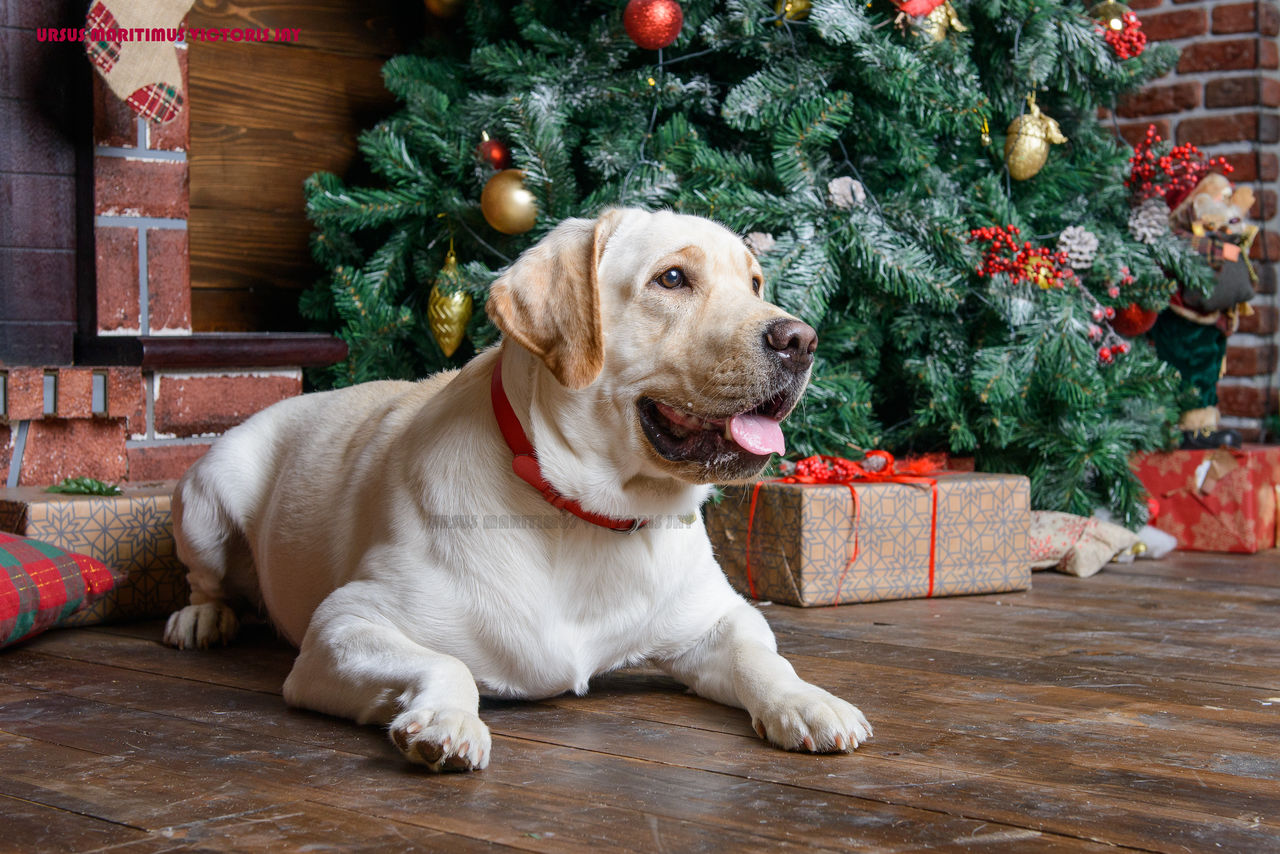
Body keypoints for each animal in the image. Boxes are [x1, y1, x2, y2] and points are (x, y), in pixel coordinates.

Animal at [165, 208, 870, 773]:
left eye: (755, 283)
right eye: (672, 279)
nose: (802, 341)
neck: (587, 513)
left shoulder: (720, 618)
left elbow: (764, 658)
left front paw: (810, 701)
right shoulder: (341, 628)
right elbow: (445, 662)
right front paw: (447, 722)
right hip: (209, 487)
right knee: (204, 578)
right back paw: (202, 618)